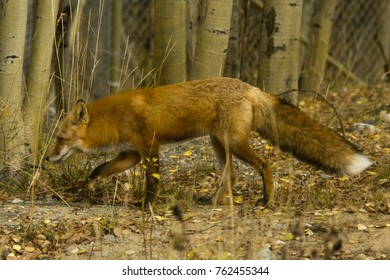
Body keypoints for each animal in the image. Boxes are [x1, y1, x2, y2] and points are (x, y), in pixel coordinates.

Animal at [45, 77, 372, 207]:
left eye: (60, 139)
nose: (47, 159)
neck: (116, 118)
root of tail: (250, 87)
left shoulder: (149, 147)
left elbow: (153, 181)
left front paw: (146, 206)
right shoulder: (131, 153)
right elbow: (97, 170)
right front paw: (85, 189)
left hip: (234, 143)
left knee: (264, 164)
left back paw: (267, 200)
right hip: (220, 144)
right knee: (231, 175)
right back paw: (213, 202)